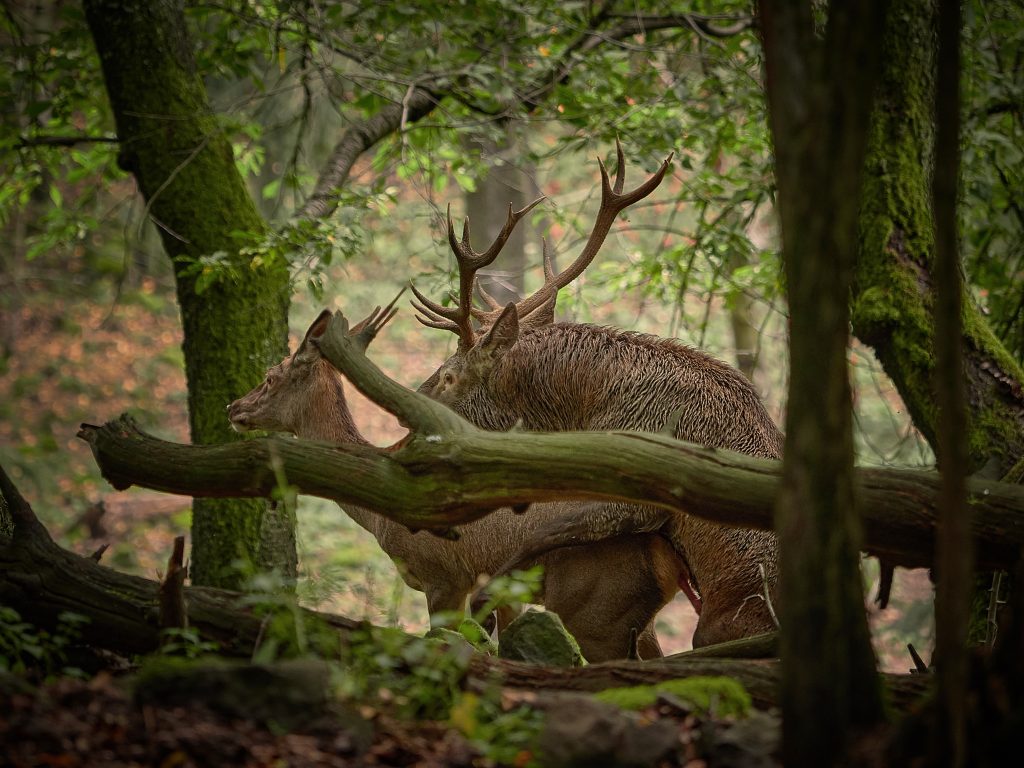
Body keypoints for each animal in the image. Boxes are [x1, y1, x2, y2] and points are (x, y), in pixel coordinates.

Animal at [228, 301, 684, 663]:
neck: (379, 519)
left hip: (594, 611)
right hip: (630, 618)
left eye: (270, 377)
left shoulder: (444, 578)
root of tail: (667, 556)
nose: (234, 407)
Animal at [411, 140, 778, 651]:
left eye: (447, 378)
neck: (589, 404)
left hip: (723, 624)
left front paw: (486, 605)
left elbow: (543, 534)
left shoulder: (641, 486)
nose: (412, 404)